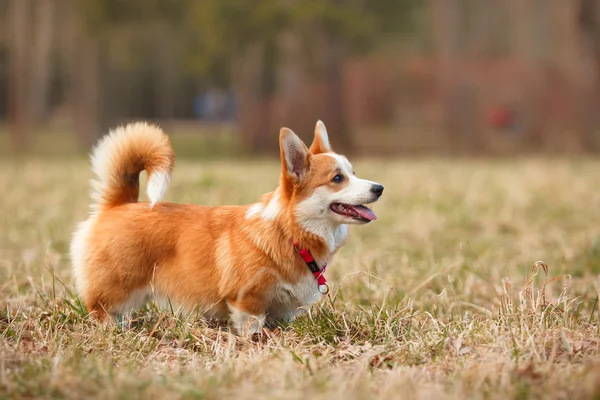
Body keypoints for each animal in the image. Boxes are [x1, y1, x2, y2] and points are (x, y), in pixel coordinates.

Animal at [69, 119, 380, 334]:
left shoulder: (283, 311)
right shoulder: (247, 302)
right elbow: (251, 328)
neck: (289, 233)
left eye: (353, 172)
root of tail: (119, 204)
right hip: (116, 289)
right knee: (100, 309)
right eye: (337, 178)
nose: (379, 188)